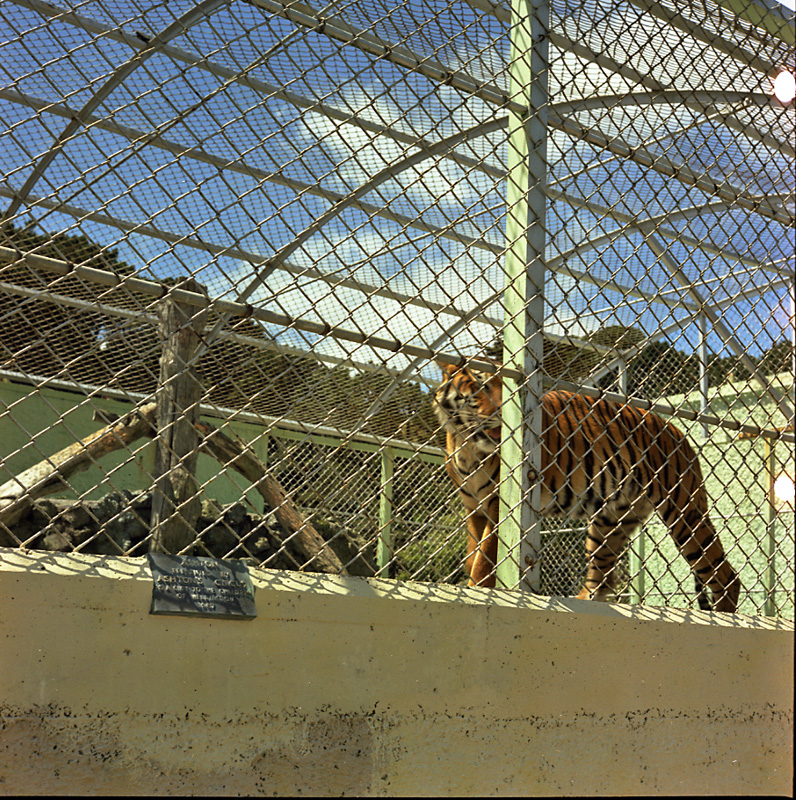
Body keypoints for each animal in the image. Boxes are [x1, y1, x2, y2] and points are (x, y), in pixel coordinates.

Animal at [432, 359, 741, 613]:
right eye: (480, 385)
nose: (501, 412)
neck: (468, 446)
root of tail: (678, 432)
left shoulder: (501, 505)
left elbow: (485, 556)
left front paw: (478, 593)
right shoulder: (474, 508)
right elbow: (473, 554)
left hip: (684, 514)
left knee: (725, 574)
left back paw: (724, 618)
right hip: (610, 523)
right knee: (603, 577)